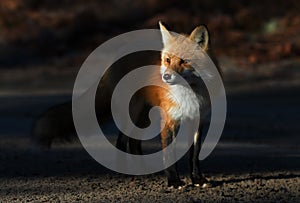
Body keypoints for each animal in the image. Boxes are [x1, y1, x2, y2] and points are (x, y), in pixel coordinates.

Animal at [32, 22, 219, 189]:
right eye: (167, 60)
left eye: (185, 61)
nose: (166, 77)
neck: (190, 93)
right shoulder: (169, 120)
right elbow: (169, 154)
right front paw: (174, 182)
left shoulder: (198, 119)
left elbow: (194, 154)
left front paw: (197, 179)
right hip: (132, 113)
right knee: (122, 142)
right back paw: (126, 172)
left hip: (143, 117)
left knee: (133, 143)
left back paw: (143, 170)